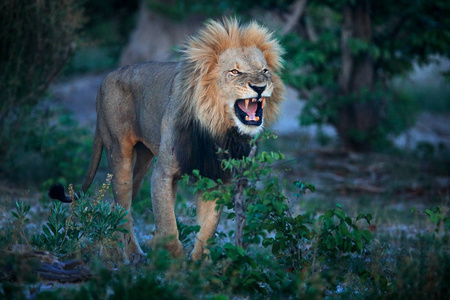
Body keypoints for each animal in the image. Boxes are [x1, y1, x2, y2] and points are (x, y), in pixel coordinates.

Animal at [50, 18, 284, 262]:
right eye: (235, 71)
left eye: (265, 70)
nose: (260, 87)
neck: (215, 126)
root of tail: (106, 78)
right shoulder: (163, 174)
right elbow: (167, 222)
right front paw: (171, 259)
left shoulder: (214, 177)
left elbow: (208, 228)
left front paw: (199, 264)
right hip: (119, 152)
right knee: (124, 206)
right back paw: (133, 255)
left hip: (142, 162)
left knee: (116, 206)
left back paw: (110, 251)